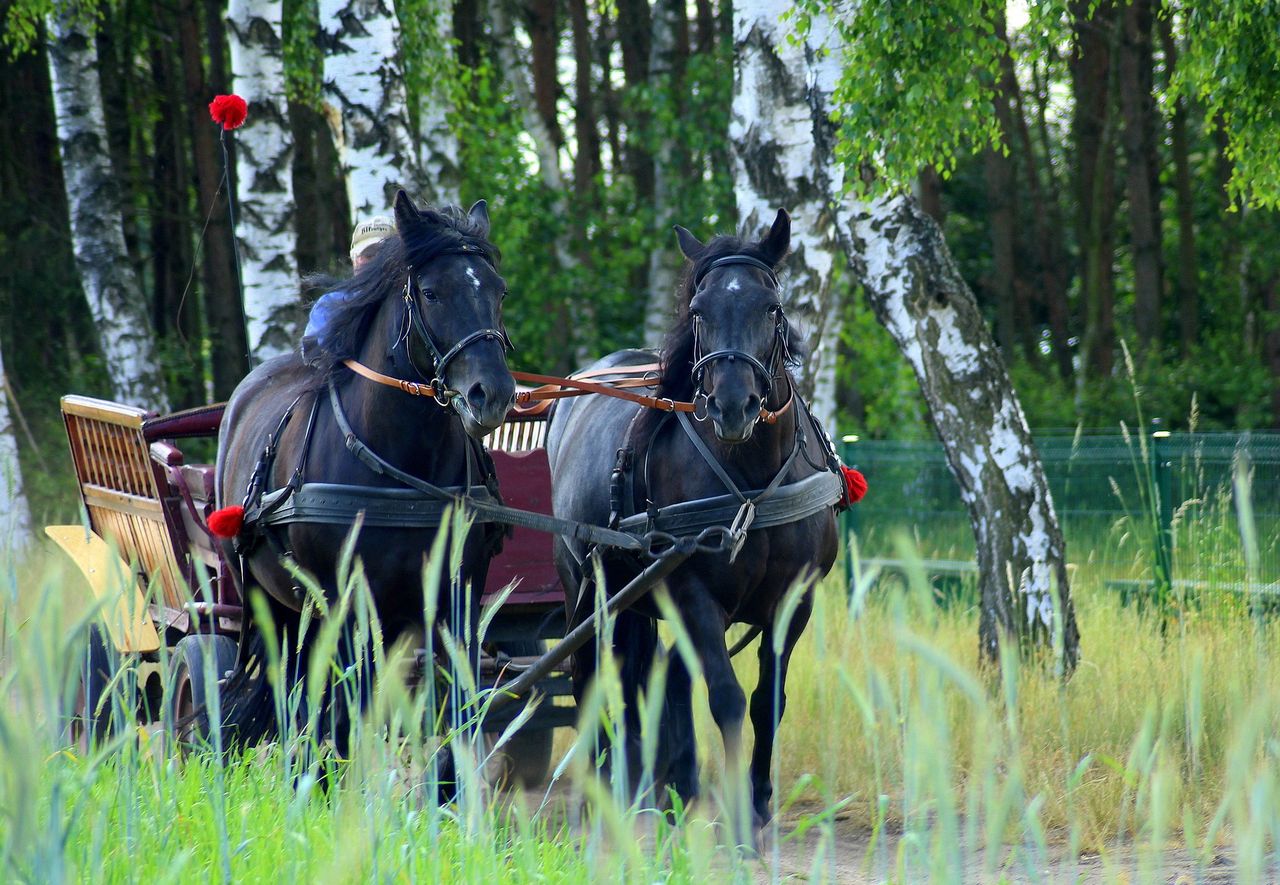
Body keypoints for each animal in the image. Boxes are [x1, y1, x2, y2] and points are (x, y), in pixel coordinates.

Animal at [215, 192, 514, 747]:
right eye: (431, 293)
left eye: (497, 290)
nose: (494, 394)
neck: (403, 473)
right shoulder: (344, 602)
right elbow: (346, 710)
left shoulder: (456, 597)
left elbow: (455, 708)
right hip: (272, 605)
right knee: (296, 697)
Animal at [547, 210, 839, 845]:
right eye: (699, 310)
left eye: (770, 308)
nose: (732, 405)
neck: (752, 482)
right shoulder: (694, 592)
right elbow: (725, 698)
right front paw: (735, 819)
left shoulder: (794, 600)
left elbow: (766, 701)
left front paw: (756, 804)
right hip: (587, 588)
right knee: (591, 679)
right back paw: (601, 796)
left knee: (653, 679)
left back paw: (660, 792)